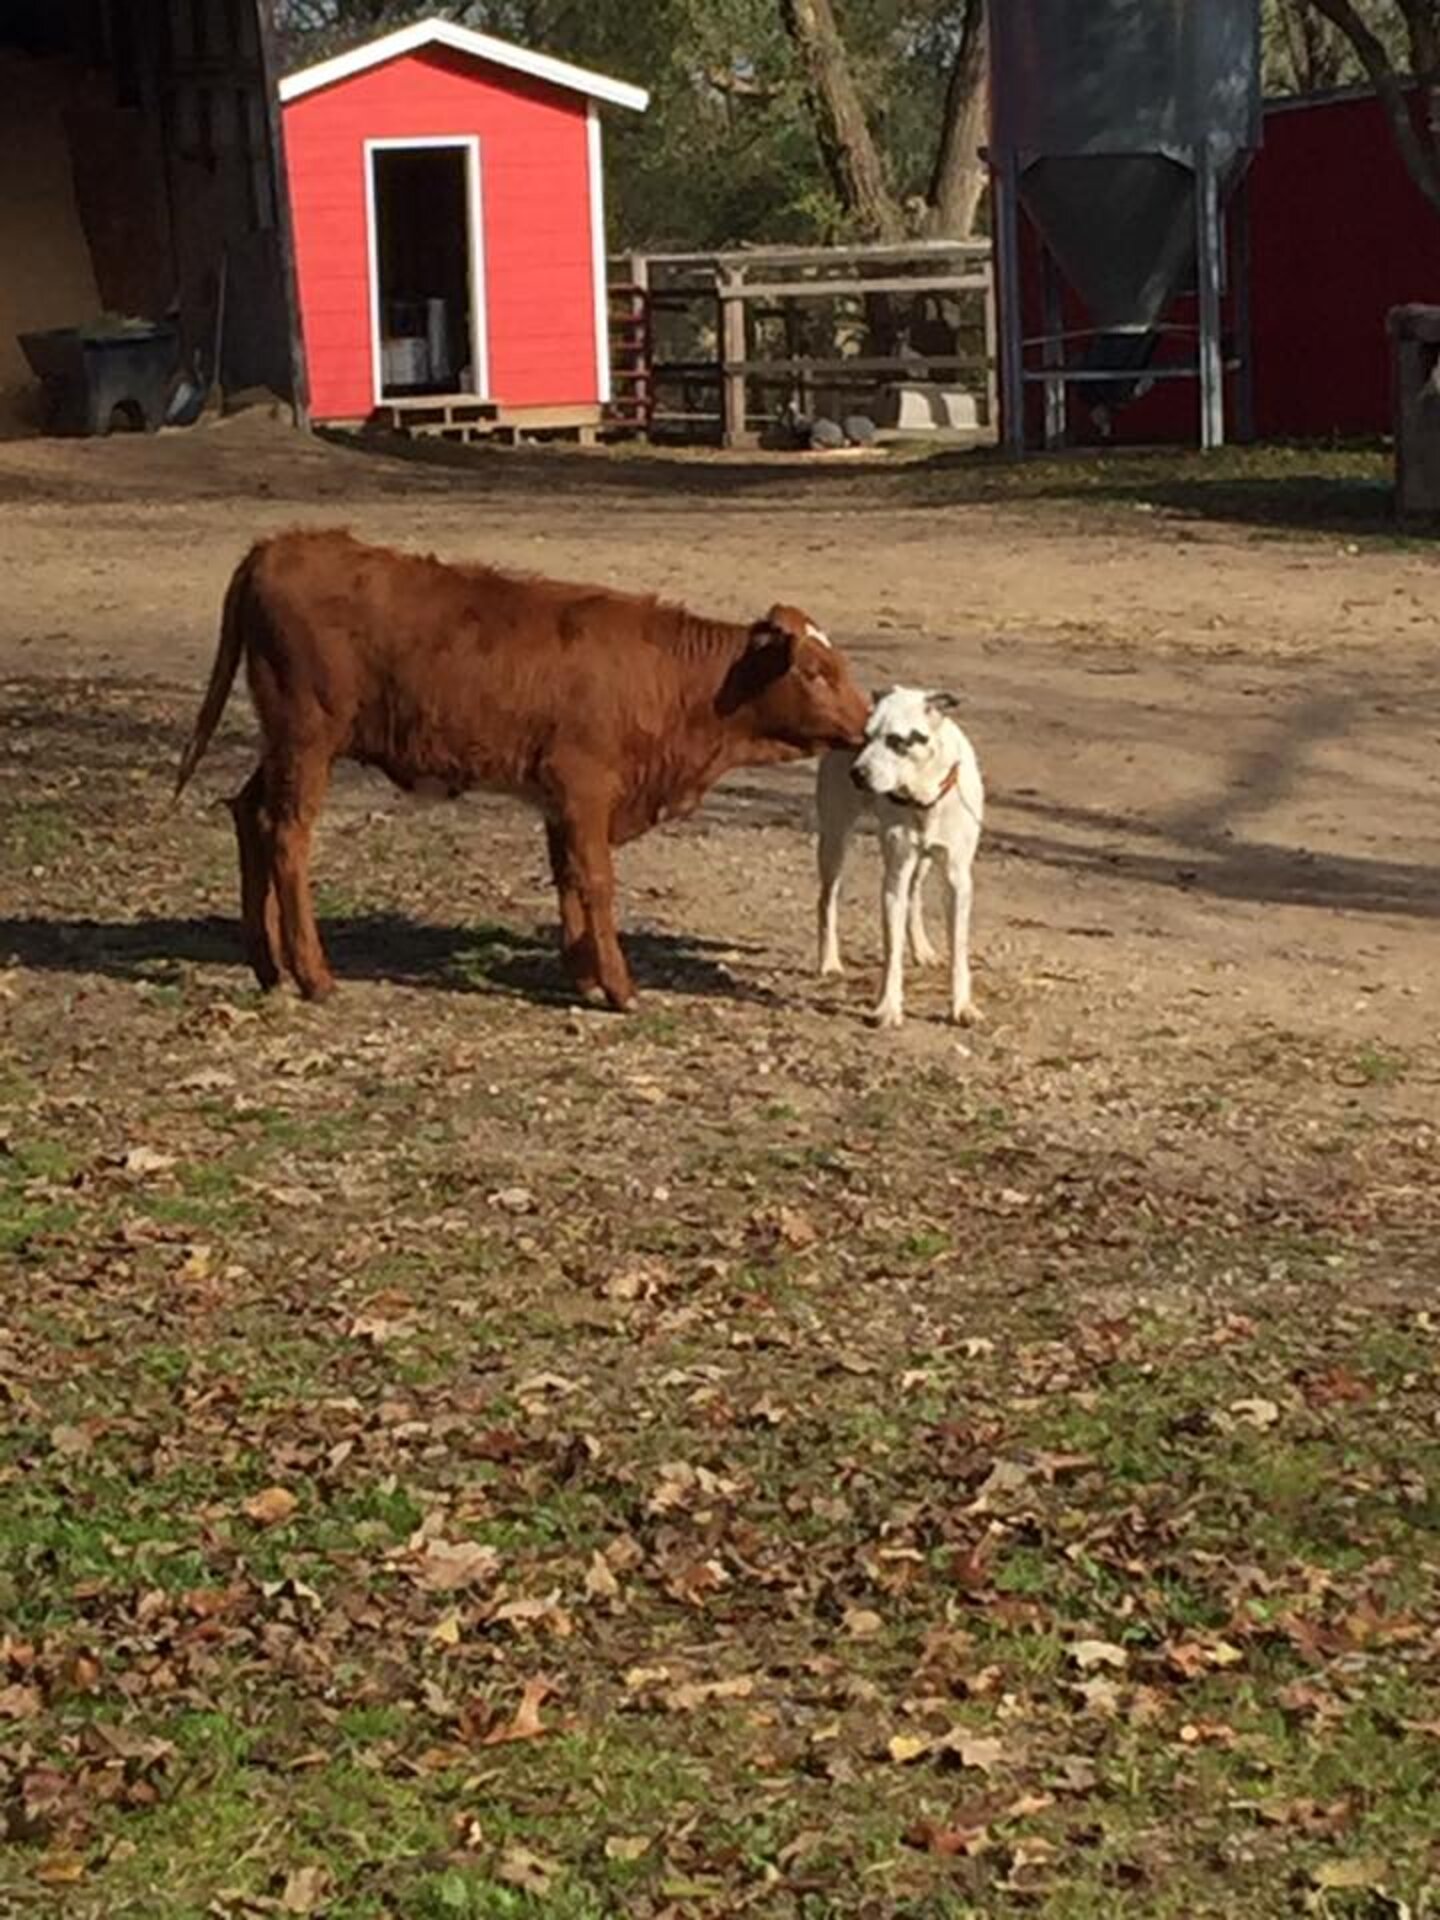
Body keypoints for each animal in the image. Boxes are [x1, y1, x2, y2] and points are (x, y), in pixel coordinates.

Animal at [174, 530, 870, 1012]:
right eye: (815, 672)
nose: (865, 723)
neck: (670, 681)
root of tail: (279, 545)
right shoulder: (585, 788)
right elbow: (596, 882)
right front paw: (618, 987)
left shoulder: (559, 801)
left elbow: (567, 881)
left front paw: (584, 976)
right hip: (307, 743)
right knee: (287, 835)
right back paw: (313, 975)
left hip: (283, 747)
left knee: (250, 815)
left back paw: (267, 967)